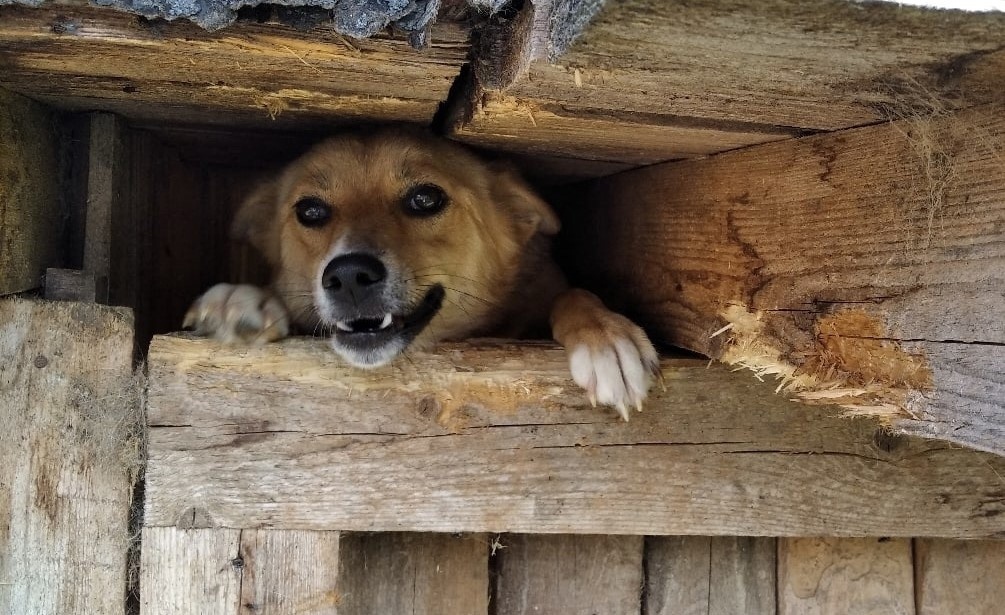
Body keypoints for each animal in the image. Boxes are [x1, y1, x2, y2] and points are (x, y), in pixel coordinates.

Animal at [185, 127, 659, 420]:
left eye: (426, 199)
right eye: (310, 211)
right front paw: (241, 300)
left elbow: (572, 294)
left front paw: (606, 336)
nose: (349, 276)